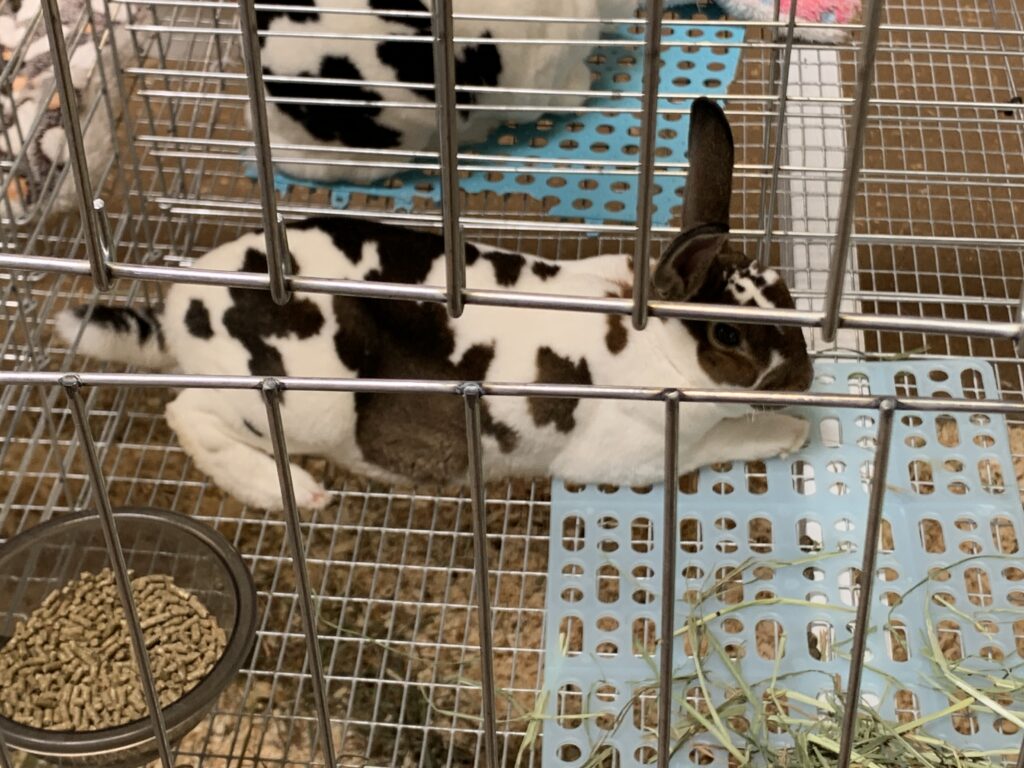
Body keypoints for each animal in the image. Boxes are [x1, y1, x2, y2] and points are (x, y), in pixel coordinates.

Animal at [58, 100, 815, 512]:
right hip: (295, 401)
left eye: (783, 288)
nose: (807, 380)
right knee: (186, 413)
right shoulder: (635, 452)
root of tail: (177, 310)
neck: (655, 343)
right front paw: (794, 433)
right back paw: (289, 491)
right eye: (728, 336)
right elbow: (721, 445)